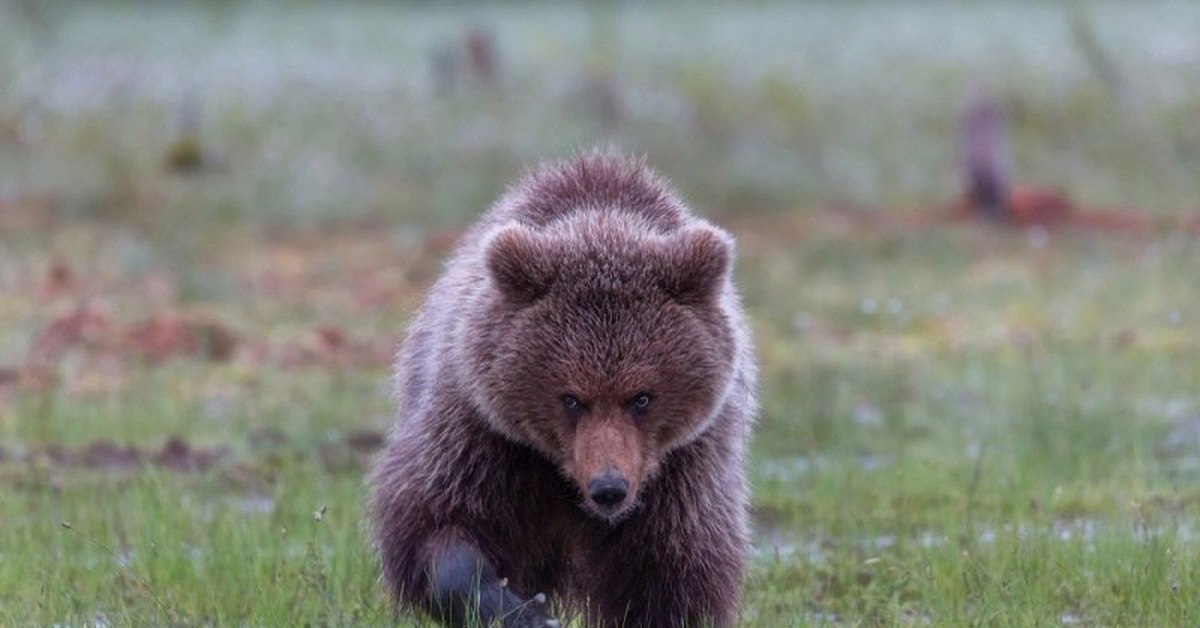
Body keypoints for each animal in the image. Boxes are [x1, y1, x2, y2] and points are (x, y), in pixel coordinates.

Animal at [369, 151, 753, 628]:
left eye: (642, 397)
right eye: (571, 398)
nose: (609, 487)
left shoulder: (686, 464)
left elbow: (671, 573)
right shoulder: (480, 430)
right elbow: (433, 522)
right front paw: (520, 610)